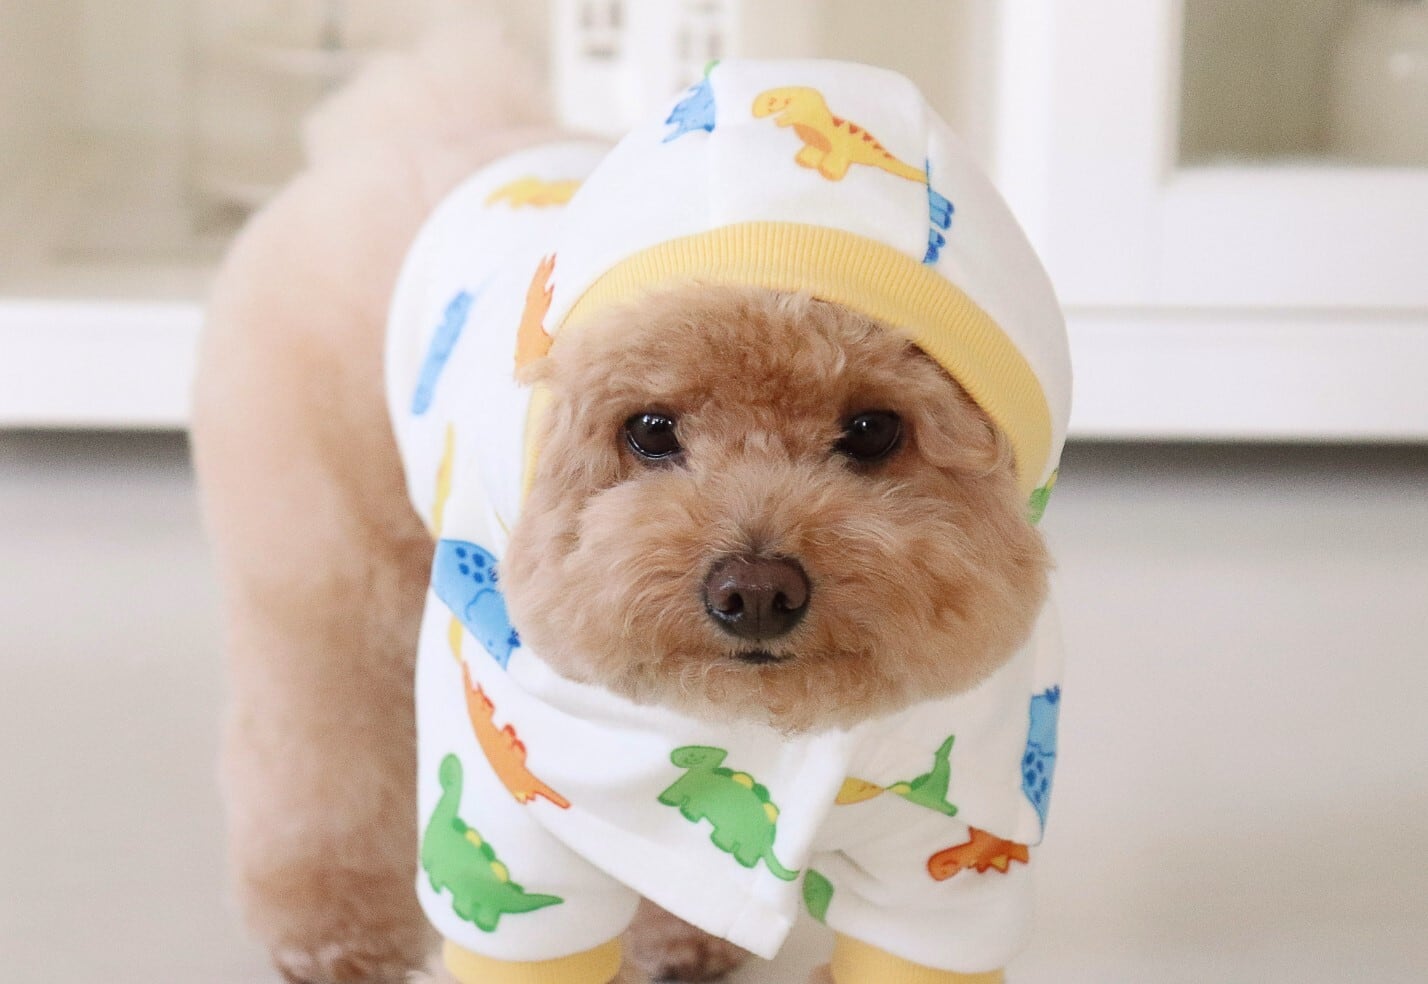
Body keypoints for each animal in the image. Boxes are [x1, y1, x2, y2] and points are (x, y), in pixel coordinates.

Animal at [193, 19, 1069, 984]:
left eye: (875, 430)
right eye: (650, 430)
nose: (754, 590)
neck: (768, 727)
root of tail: (426, 123)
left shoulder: (946, 865)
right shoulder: (522, 816)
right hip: (321, 565)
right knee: (313, 738)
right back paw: (333, 928)